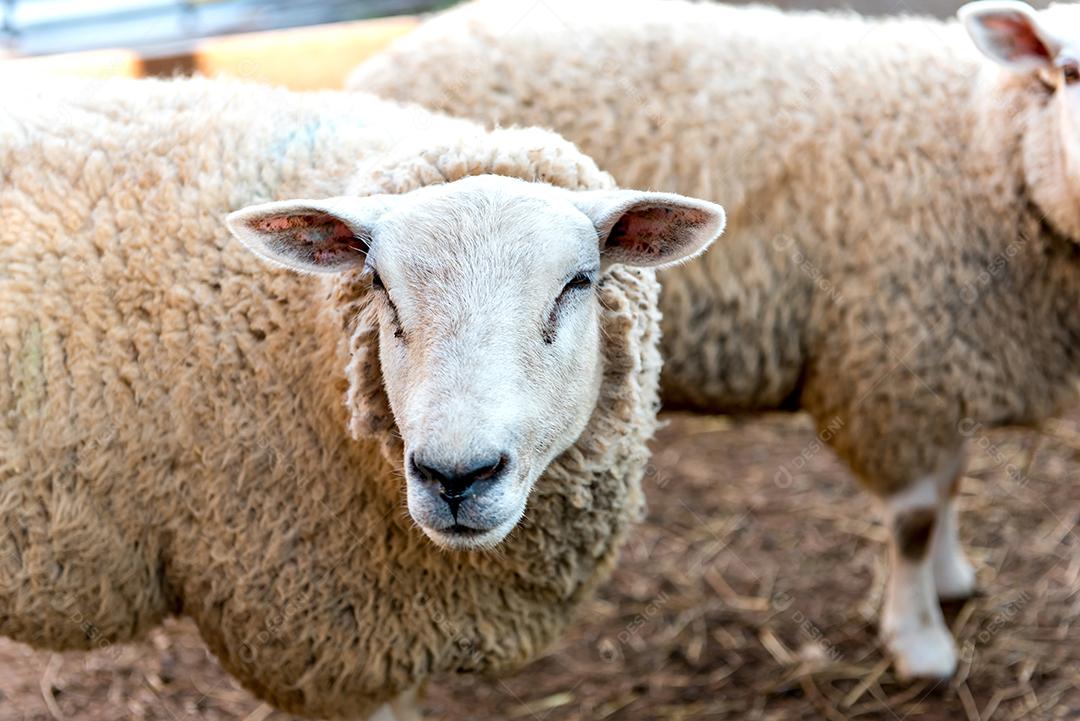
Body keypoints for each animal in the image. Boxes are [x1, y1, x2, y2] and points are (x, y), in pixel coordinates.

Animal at [347, 0, 1080, 682]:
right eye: (1069, 72)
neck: (984, 144)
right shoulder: (891, 364)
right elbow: (915, 520)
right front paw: (921, 641)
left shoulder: (947, 359)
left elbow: (952, 483)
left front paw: (952, 579)